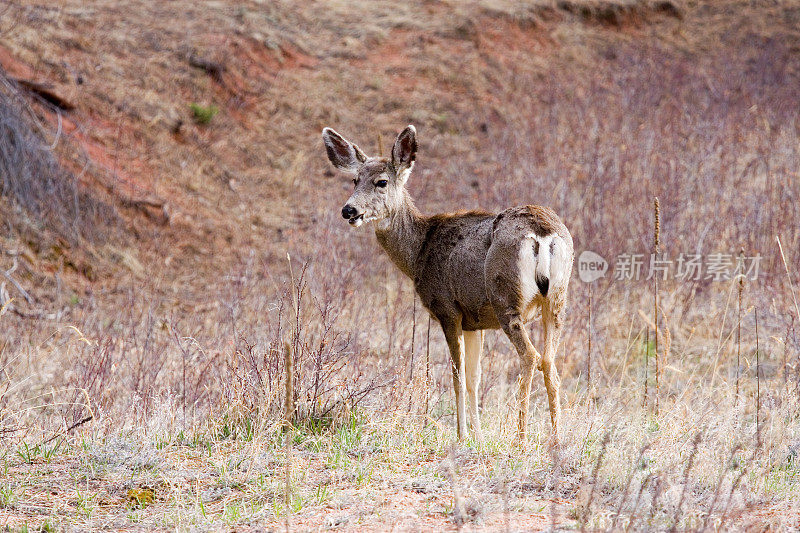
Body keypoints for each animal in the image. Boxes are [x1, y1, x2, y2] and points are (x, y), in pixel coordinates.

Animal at [322, 124, 572, 444]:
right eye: (354, 179)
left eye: (381, 182)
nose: (349, 210)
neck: (418, 252)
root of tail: (542, 233)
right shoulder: (475, 321)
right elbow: (474, 379)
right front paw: (478, 437)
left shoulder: (447, 309)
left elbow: (457, 377)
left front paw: (461, 436)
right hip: (556, 300)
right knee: (550, 360)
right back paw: (556, 436)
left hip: (506, 299)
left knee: (530, 356)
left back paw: (521, 436)